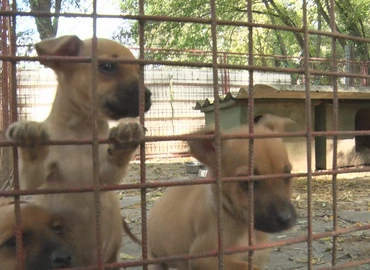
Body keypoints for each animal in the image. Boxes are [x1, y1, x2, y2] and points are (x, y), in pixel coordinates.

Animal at [5, 34, 152, 266]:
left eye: (139, 71)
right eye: (108, 67)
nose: (148, 96)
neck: (80, 131)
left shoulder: (105, 178)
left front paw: (125, 138)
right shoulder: (32, 184)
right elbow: (32, 170)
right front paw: (31, 138)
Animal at [147, 114, 298, 270]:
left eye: (288, 175)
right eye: (246, 182)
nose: (286, 219)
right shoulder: (205, 258)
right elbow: (244, 266)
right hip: (155, 260)